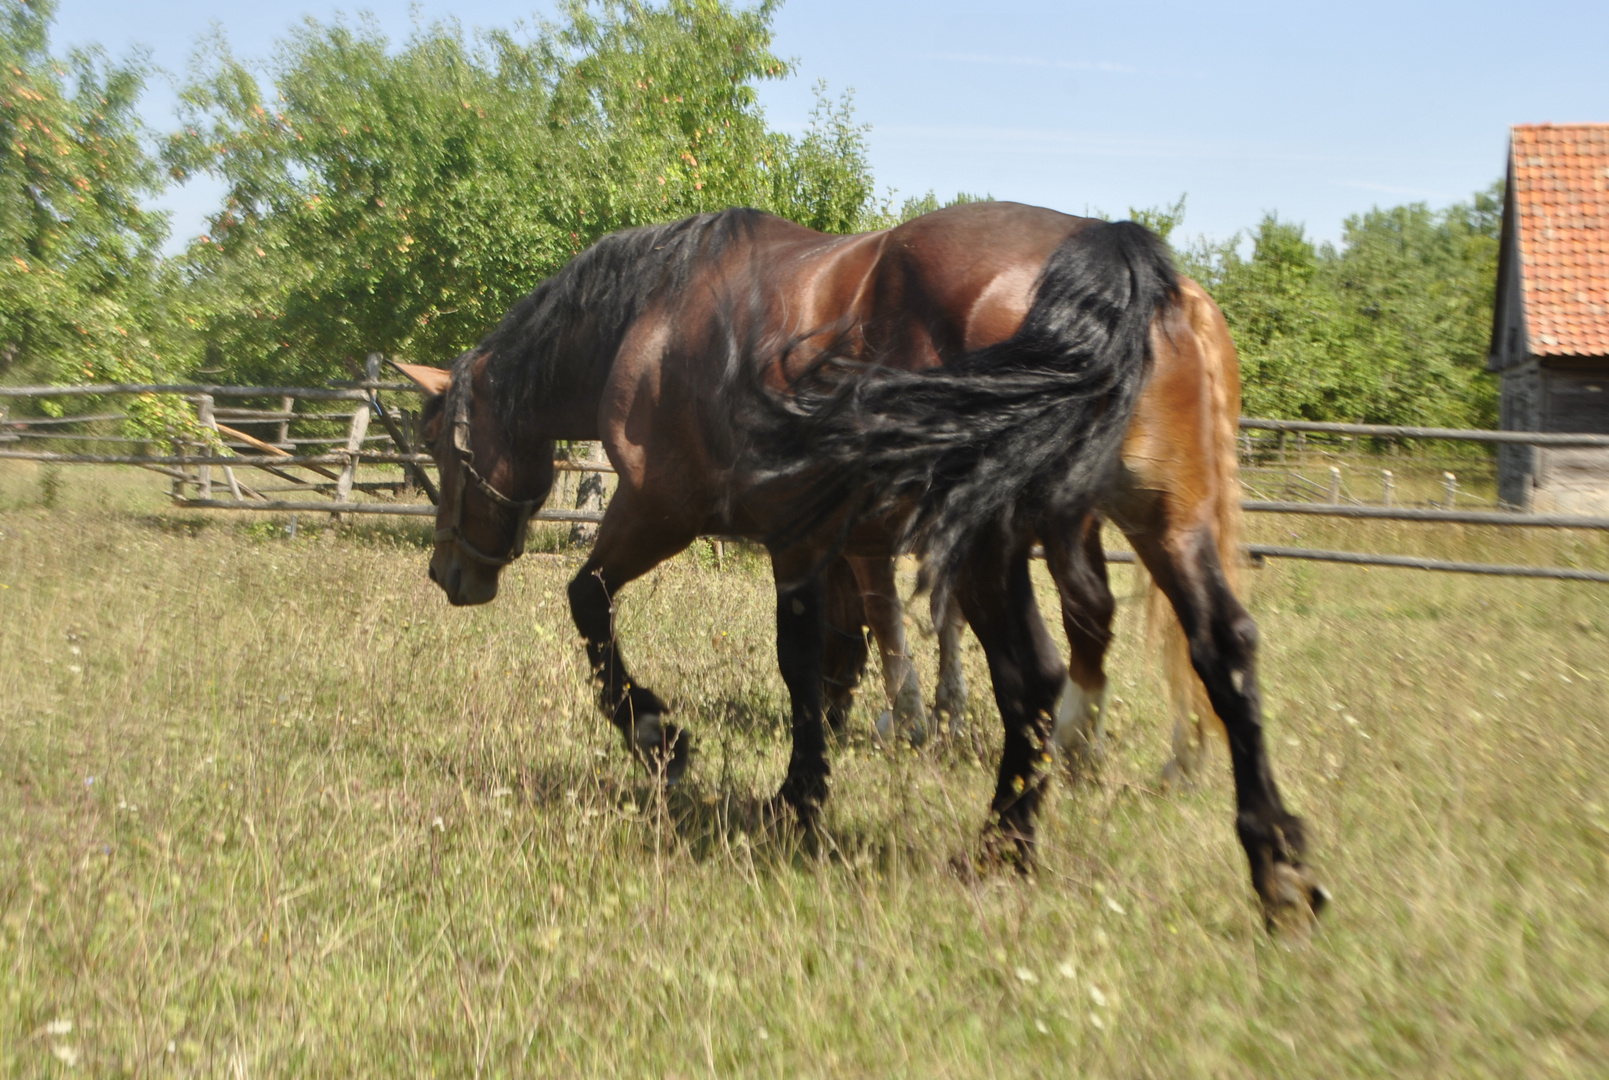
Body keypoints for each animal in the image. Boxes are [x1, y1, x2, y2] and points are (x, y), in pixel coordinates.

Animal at [399, 202, 1319, 927]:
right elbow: (824, 664)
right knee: (1220, 651)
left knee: (1035, 675)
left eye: (441, 443)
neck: (655, 317)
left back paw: (1001, 846)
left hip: (991, 548)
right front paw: (802, 788)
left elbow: (600, 604)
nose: (450, 575)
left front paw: (665, 739)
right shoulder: (819, 544)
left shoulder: (666, 512)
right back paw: (1276, 865)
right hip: (1164, 524)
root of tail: (1112, 253)